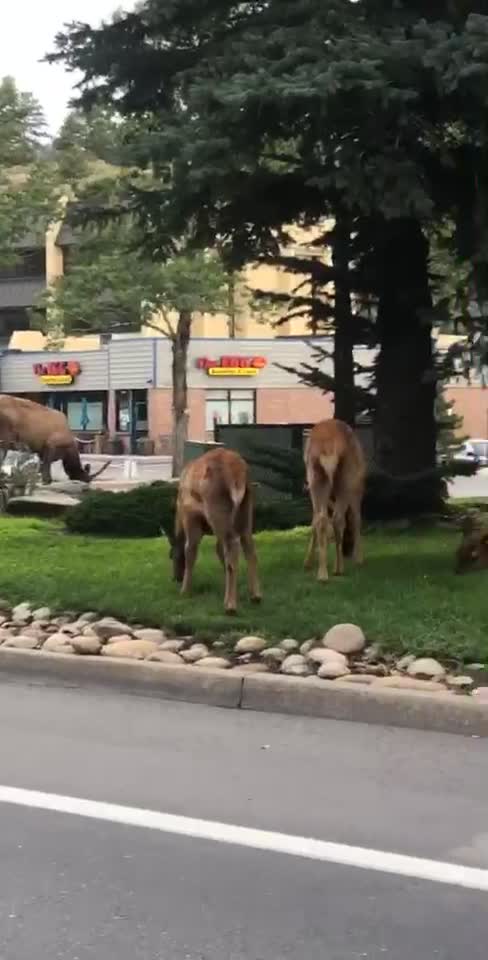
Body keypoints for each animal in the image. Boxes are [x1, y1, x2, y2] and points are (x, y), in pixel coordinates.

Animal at [166, 447, 262, 614]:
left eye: (171, 555)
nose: (176, 578)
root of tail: (237, 474)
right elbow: (218, 550)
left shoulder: (191, 517)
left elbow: (190, 551)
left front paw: (185, 590)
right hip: (246, 508)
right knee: (248, 544)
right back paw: (255, 596)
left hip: (217, 506)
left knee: (233, 546)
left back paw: (230, 605)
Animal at [304, 418, 366, 581]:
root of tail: (329, 448)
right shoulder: (357, 490)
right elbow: (356, 519)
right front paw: (358, 558)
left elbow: (314, 521)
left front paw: (308, 562)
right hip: (346, 479)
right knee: (340, 518)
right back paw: (339, 568)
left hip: (316, 478)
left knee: (321, 519)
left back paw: (322, 574)